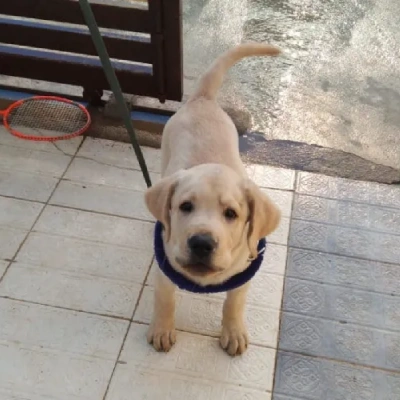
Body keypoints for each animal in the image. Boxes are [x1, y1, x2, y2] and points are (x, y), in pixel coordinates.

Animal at [145, 43, 282, 356]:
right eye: (185, 206)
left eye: (231, 213)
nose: (201, 243)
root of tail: (202, 99)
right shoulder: (164, 269)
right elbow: (164, 300)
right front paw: (162, 329)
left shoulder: (245, 273)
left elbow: (234, 302)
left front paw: (233, 332)